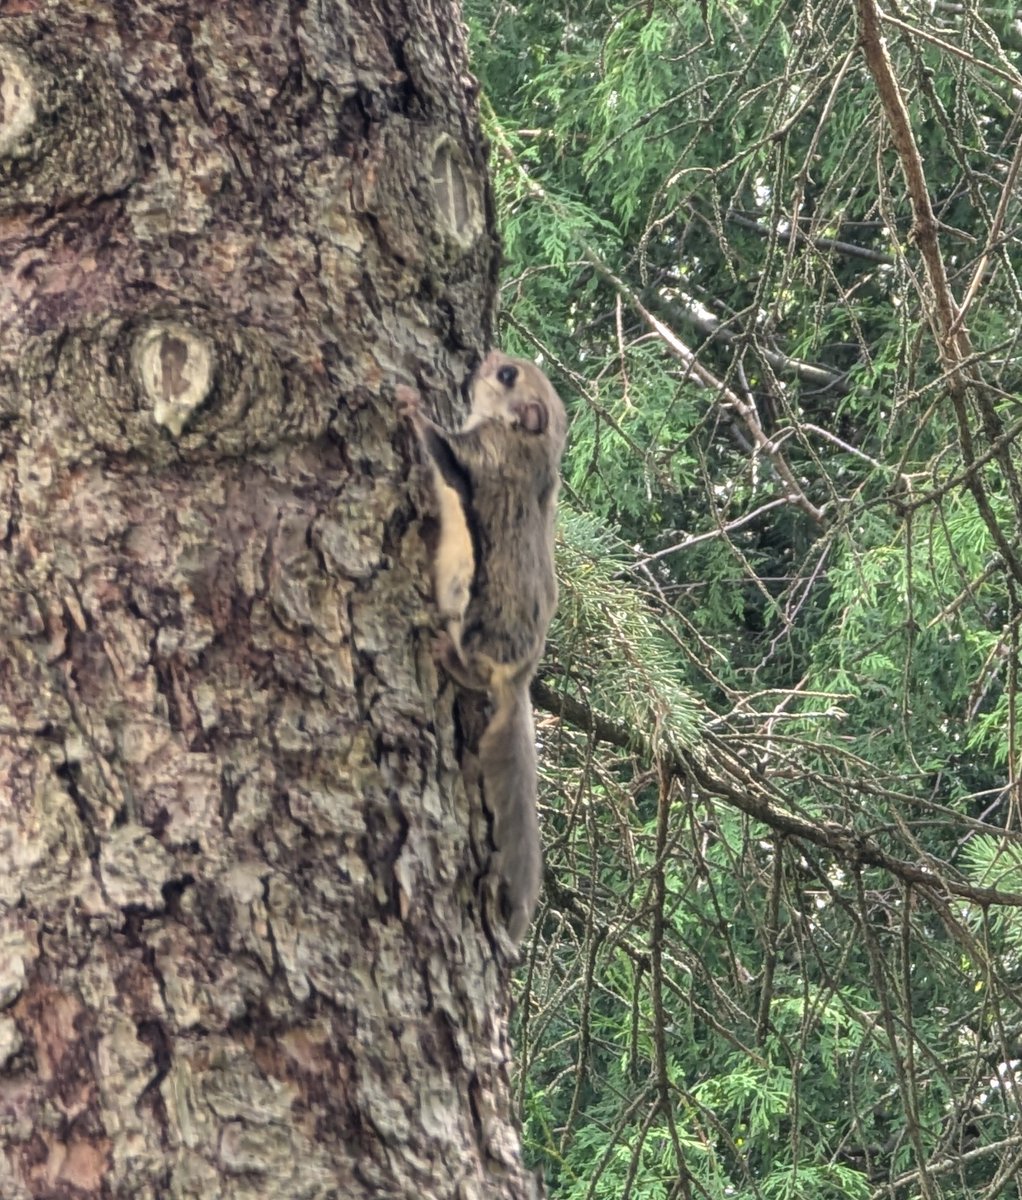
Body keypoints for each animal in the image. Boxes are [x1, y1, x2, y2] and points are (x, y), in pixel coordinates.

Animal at [395, 350, 567, 948]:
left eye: (508, 376)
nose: (485, 358)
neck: (529, 446)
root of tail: (519, 680)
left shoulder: (481, 454)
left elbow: (442, 451)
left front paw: (411, 403)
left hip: (478, 625)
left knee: (472, 669)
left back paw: (447, 656)